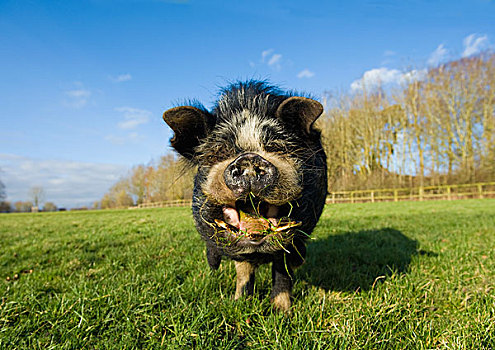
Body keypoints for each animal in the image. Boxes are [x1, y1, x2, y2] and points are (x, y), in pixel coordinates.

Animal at [164, 80, 330, 310]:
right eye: (219, 153)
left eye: (277, 148)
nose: (249, 159)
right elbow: (243, 269)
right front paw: (240, 303)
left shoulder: (292, 238)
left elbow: (282, 269)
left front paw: (281, 311)